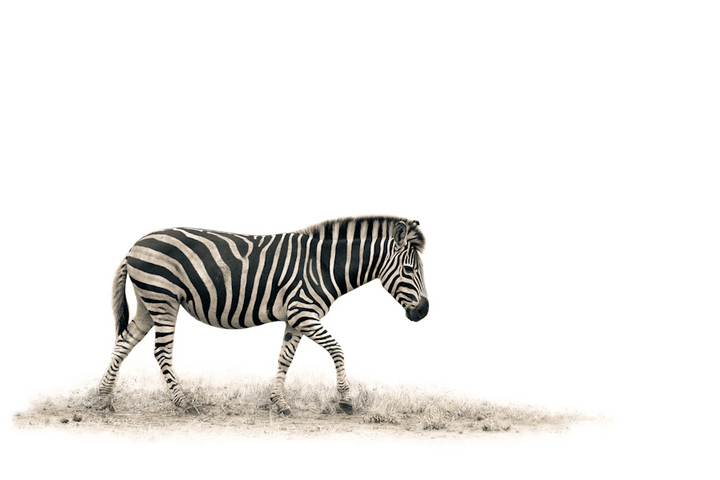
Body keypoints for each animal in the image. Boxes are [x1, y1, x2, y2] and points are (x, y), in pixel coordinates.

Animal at [98, 215, 428, 415]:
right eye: (409, 269)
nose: (424, 311)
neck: (323, 265)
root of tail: (136, 244)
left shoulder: (295, 318)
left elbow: (285, 359)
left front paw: (279, 403)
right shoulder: (304, 312)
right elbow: (337, 349)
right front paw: (346, 400)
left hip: (149, 301)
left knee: (124, 342)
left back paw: (103, 398)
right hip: (164, 299)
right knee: (161, 351)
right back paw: (184, 403)